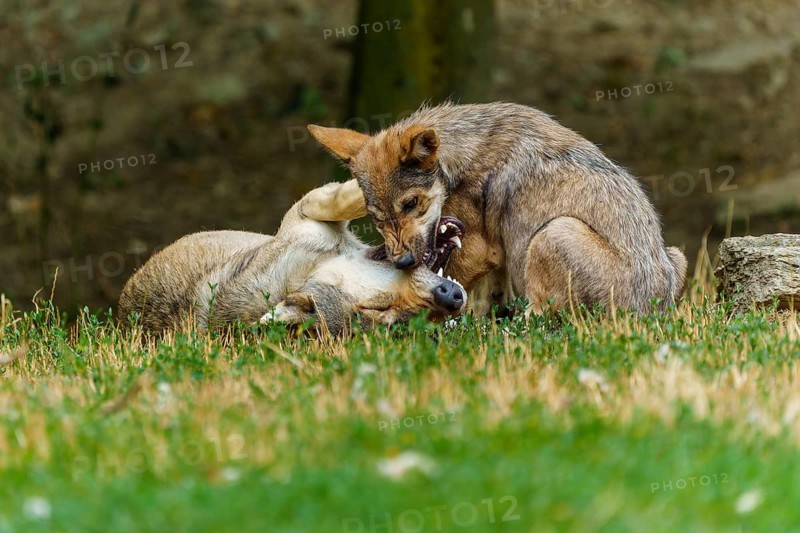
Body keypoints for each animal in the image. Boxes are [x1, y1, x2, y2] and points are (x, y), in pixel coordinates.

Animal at [307, 101, 687, 315]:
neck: (461, 159)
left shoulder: (478, 250)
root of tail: (649, 315)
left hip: (553, 232)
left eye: (411, 204)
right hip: (675, 254)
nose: (402, 261)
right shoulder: (497, 258)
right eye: (377, 218)